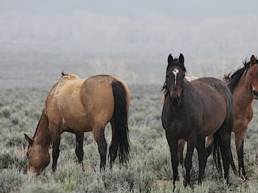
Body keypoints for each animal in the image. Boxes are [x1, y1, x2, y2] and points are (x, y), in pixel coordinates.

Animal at [161, 53, 236, 188]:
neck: (178, 111)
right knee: (203, 158)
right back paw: (200, 183)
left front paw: (187, 185)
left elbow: (187, 161)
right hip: (201, 137)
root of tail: (224, 86)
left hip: (224, 132)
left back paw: (227, 183)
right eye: (168, 75)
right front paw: (175, 186)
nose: (175, 98)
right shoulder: (171, 136)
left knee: (226, 156)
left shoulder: (191, 137)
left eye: (183, 75)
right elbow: (174, 161)